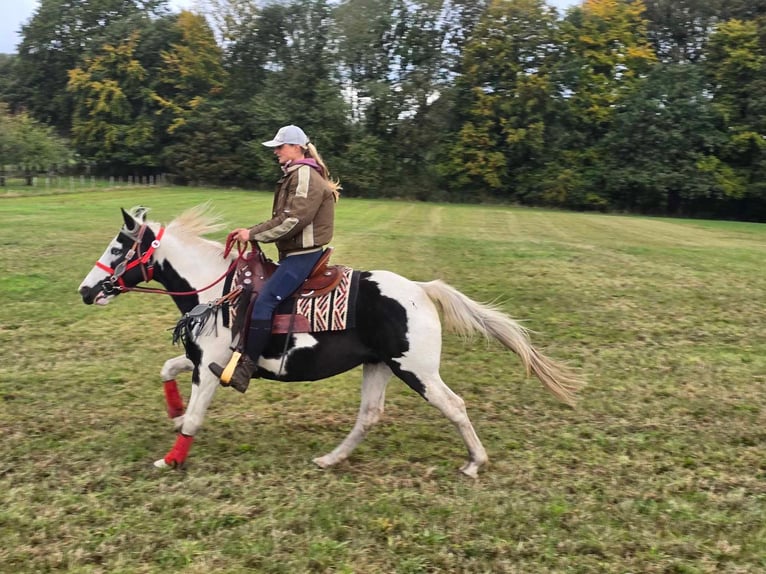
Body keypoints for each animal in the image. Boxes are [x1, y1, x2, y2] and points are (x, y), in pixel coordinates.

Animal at [78, 206, 584, 476]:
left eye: (119, 247)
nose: (86, 290)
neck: (218, 290)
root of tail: (422, 290)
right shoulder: (204, 362)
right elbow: (167, 369)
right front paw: (173, 410)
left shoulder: (210, 370)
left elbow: (197, 419)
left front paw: (170, 458)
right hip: (379, 366)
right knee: (370, 415)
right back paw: (330, 459)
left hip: (417, 370)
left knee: (455, 405)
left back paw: (475, 461)